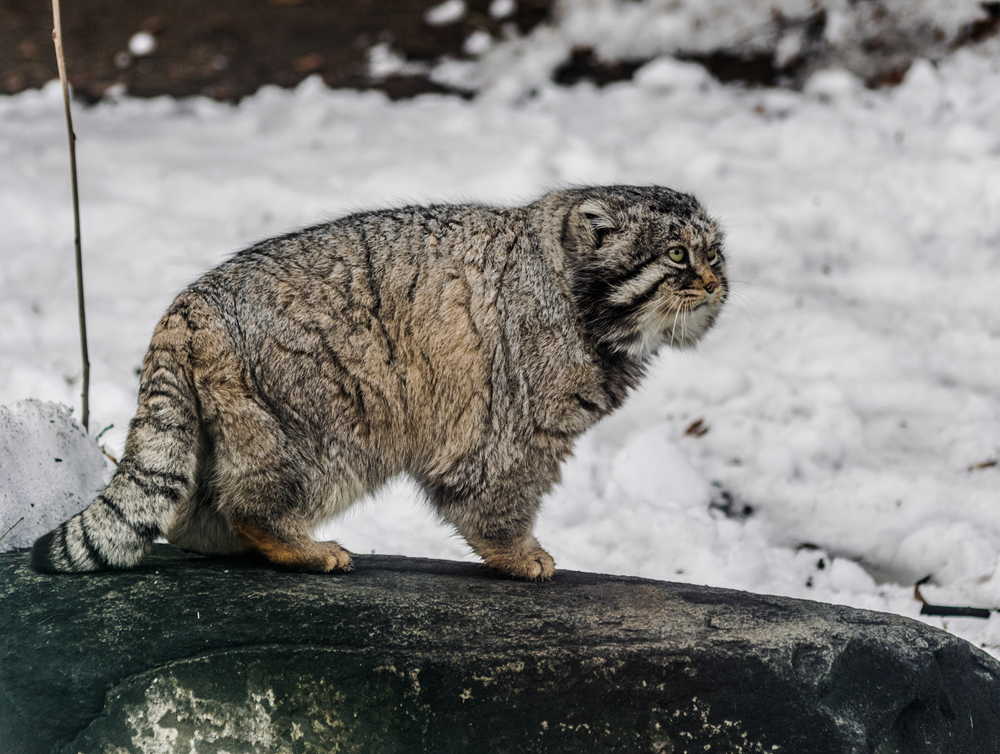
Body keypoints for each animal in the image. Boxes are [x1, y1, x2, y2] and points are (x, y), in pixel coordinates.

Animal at [29, 185, 728, 580]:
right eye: (676, 255)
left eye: (715, 252)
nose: (719, 282)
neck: (569, 289)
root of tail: (190, 303)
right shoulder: (514, 430)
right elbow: (497, 501)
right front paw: (519, 554)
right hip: (325, 425)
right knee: (250, 502)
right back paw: (300, 548)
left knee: (184, 516)